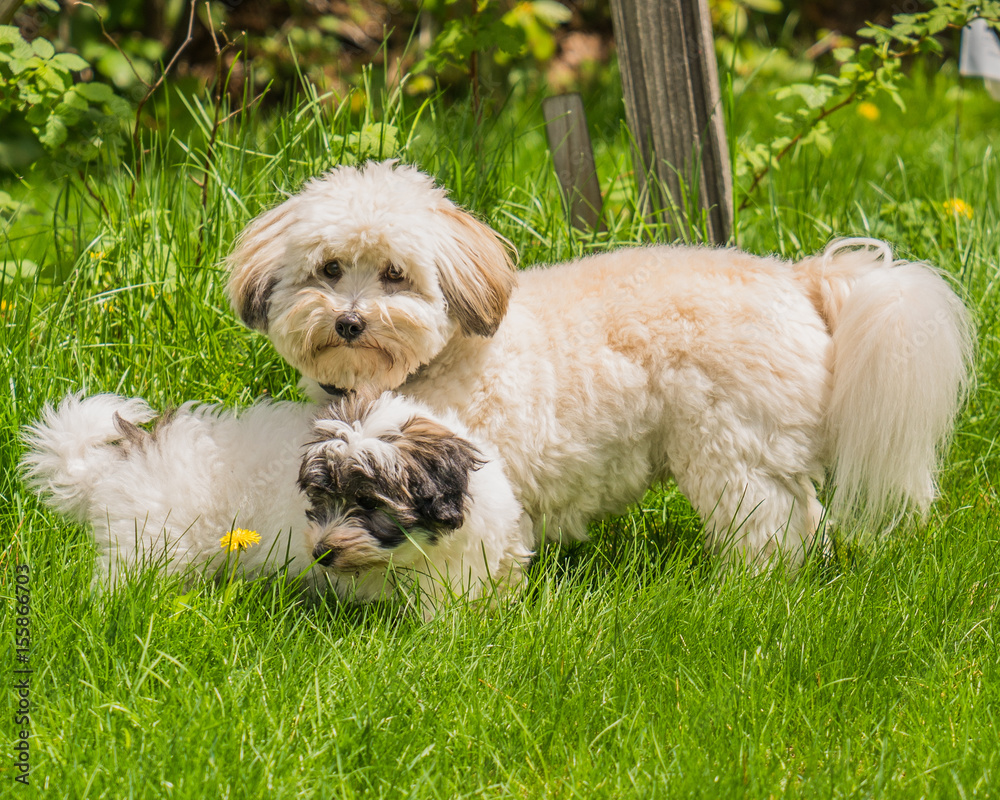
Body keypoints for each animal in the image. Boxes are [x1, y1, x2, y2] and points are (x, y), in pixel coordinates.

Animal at [229, 158, 976, 568]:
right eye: (329, 269)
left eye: (394, 274)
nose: (349, 321)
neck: (429, 368)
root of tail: (800, 278)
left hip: (734, 450)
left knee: (768, 526)